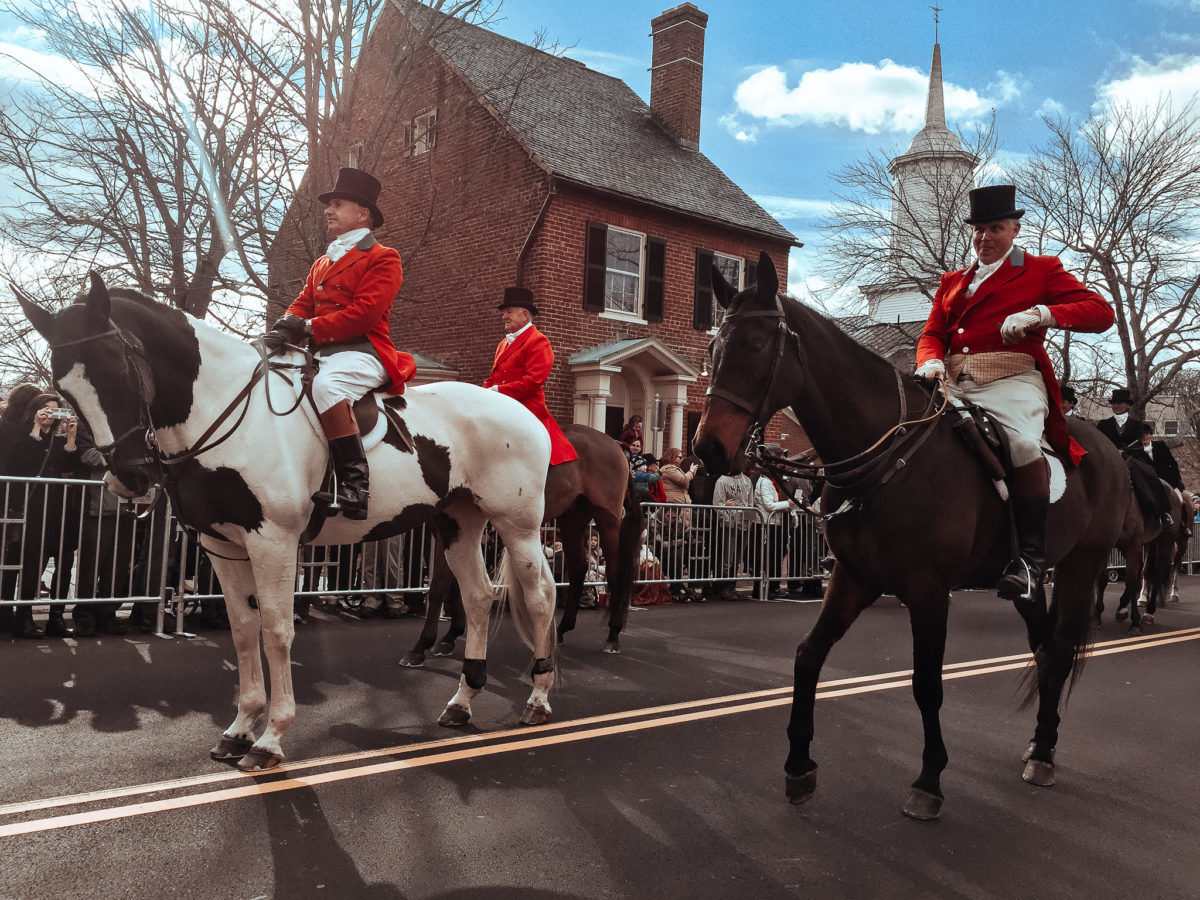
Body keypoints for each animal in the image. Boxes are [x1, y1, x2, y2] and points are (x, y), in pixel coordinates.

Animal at [18, 273, 559, 768]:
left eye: (115, 367)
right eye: (63, 388)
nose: (128, 477)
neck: (226, 412)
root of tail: (516, 407)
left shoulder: (273, 542)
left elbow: (277, 630)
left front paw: (271, 736)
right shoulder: (220, 545)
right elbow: (243, 629)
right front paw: (239, 729)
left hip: (517, 526)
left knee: (536, 598)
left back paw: (538, 697)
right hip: (457, 524)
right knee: (478, 597)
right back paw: (462, 702)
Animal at [396, 422, 643, 672]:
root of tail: (615, 444)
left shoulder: (451, 528)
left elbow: (440, 586)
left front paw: (421, 646)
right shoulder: (452, 531)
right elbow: (455, 585)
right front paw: (449, 637)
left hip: (607, 519)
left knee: (613, 571)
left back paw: (613, 634)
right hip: (572, 519)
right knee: (578, 568)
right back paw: (563, 628)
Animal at [691, 250, 1128, 820]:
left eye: (757, 345)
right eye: (714, 348)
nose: (708, 449)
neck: (885, 455)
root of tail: (1103, 444)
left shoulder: (928, 590)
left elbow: (926, 685)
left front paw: (929, 779)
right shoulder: (853, 578)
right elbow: (808, 656)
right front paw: (799, 765)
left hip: (1082, 567)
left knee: (1058, 645)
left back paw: (1044, 753)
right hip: (1031, 582)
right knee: (1044, 646)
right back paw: (1039, 744)